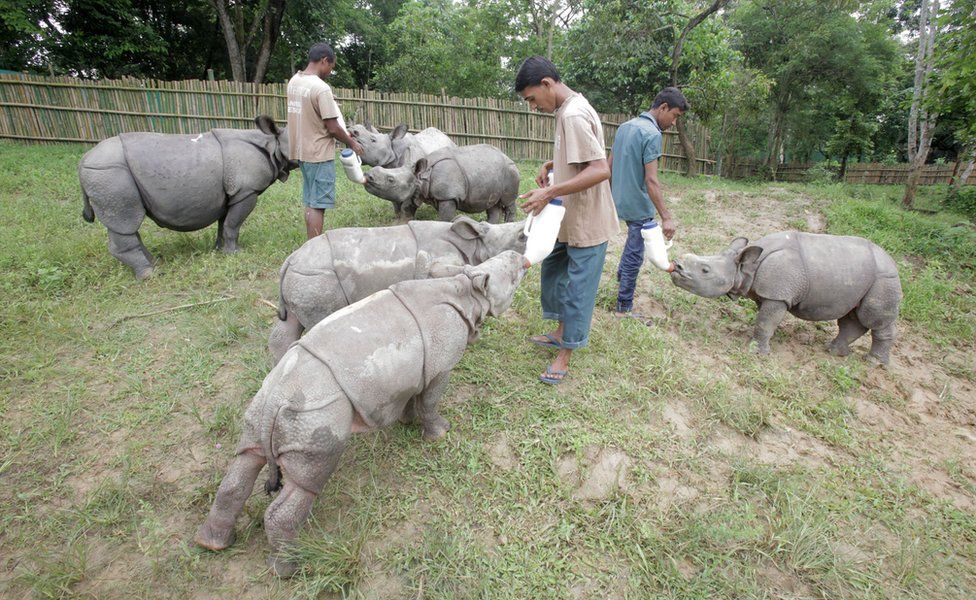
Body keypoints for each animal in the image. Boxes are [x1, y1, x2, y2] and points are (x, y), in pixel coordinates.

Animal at [78, 115, 294, 278]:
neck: (270, 143)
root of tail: (83, 160)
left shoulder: (229, 194)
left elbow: (224, 224)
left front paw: (220, 251)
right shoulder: (246, 191)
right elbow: (233, 225)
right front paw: (236, 253)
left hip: (105, 174)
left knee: (128, 226)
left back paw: (154, 263)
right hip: (108, 173)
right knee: (125, 221)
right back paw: (149, 274)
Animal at [196, 252, 528, 576]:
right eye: (514, 278)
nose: (520, 257)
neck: (466, 291)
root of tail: (276, 401)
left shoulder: (411, 367)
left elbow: (413, 395)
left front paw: (407, 422)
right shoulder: (440, 365)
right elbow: (431, 401)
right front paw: (440, 433)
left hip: (266, 402)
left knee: (245, 460)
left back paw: (213, 544)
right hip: (314, 414)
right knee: (308, 481)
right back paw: (289, 570)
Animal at [266, 218, 528, 364]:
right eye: (521, 237)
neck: (473, 244)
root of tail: (289, 261)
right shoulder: (436, 263)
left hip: (303, 278)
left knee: (289, 324)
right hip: (319, 279)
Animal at [364, 145, 520, 223]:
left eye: (391, 180)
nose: (367, 176)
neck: (421, 176)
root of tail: (508, 157)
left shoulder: (448, 196)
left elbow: (444, 219)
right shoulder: (415, 191)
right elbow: (407, 211)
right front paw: (402, 225)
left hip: (510, 171)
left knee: (509, 202)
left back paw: (508, 224)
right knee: (493, 205)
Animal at [672, 232, 900, 366]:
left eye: (705, 270)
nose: (677, 267)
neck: (745, 268)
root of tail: (892, 262)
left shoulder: (777, 295)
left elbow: (765, 321)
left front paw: (756, 352)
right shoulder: (769, 293)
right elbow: (765, 321)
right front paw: (758, 341)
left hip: (884, 280)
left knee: (874, 319)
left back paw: (873, 363)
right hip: (861, 276)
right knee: (852, 318)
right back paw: (834, 352)